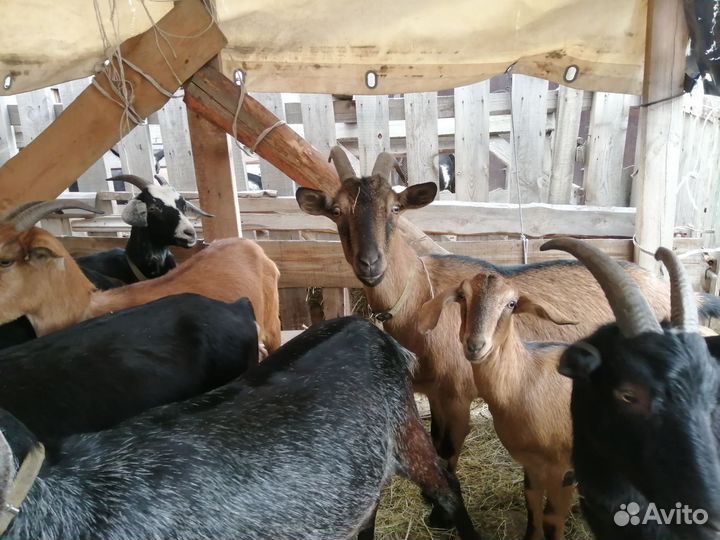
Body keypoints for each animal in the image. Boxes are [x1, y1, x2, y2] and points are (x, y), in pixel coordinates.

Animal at [295, 147, 720, 477]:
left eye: (396, 207)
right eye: (336, 211)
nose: (370, 264)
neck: (420, 298)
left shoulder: (457, 394)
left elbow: (447, 451)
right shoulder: (433, 392)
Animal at [418, 272, 576, 540]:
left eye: (511, 304)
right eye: (462, 296)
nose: (475, 346)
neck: (526, 379)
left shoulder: (563, 470)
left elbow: (552, 519)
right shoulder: (531, 464)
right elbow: (532, 505)